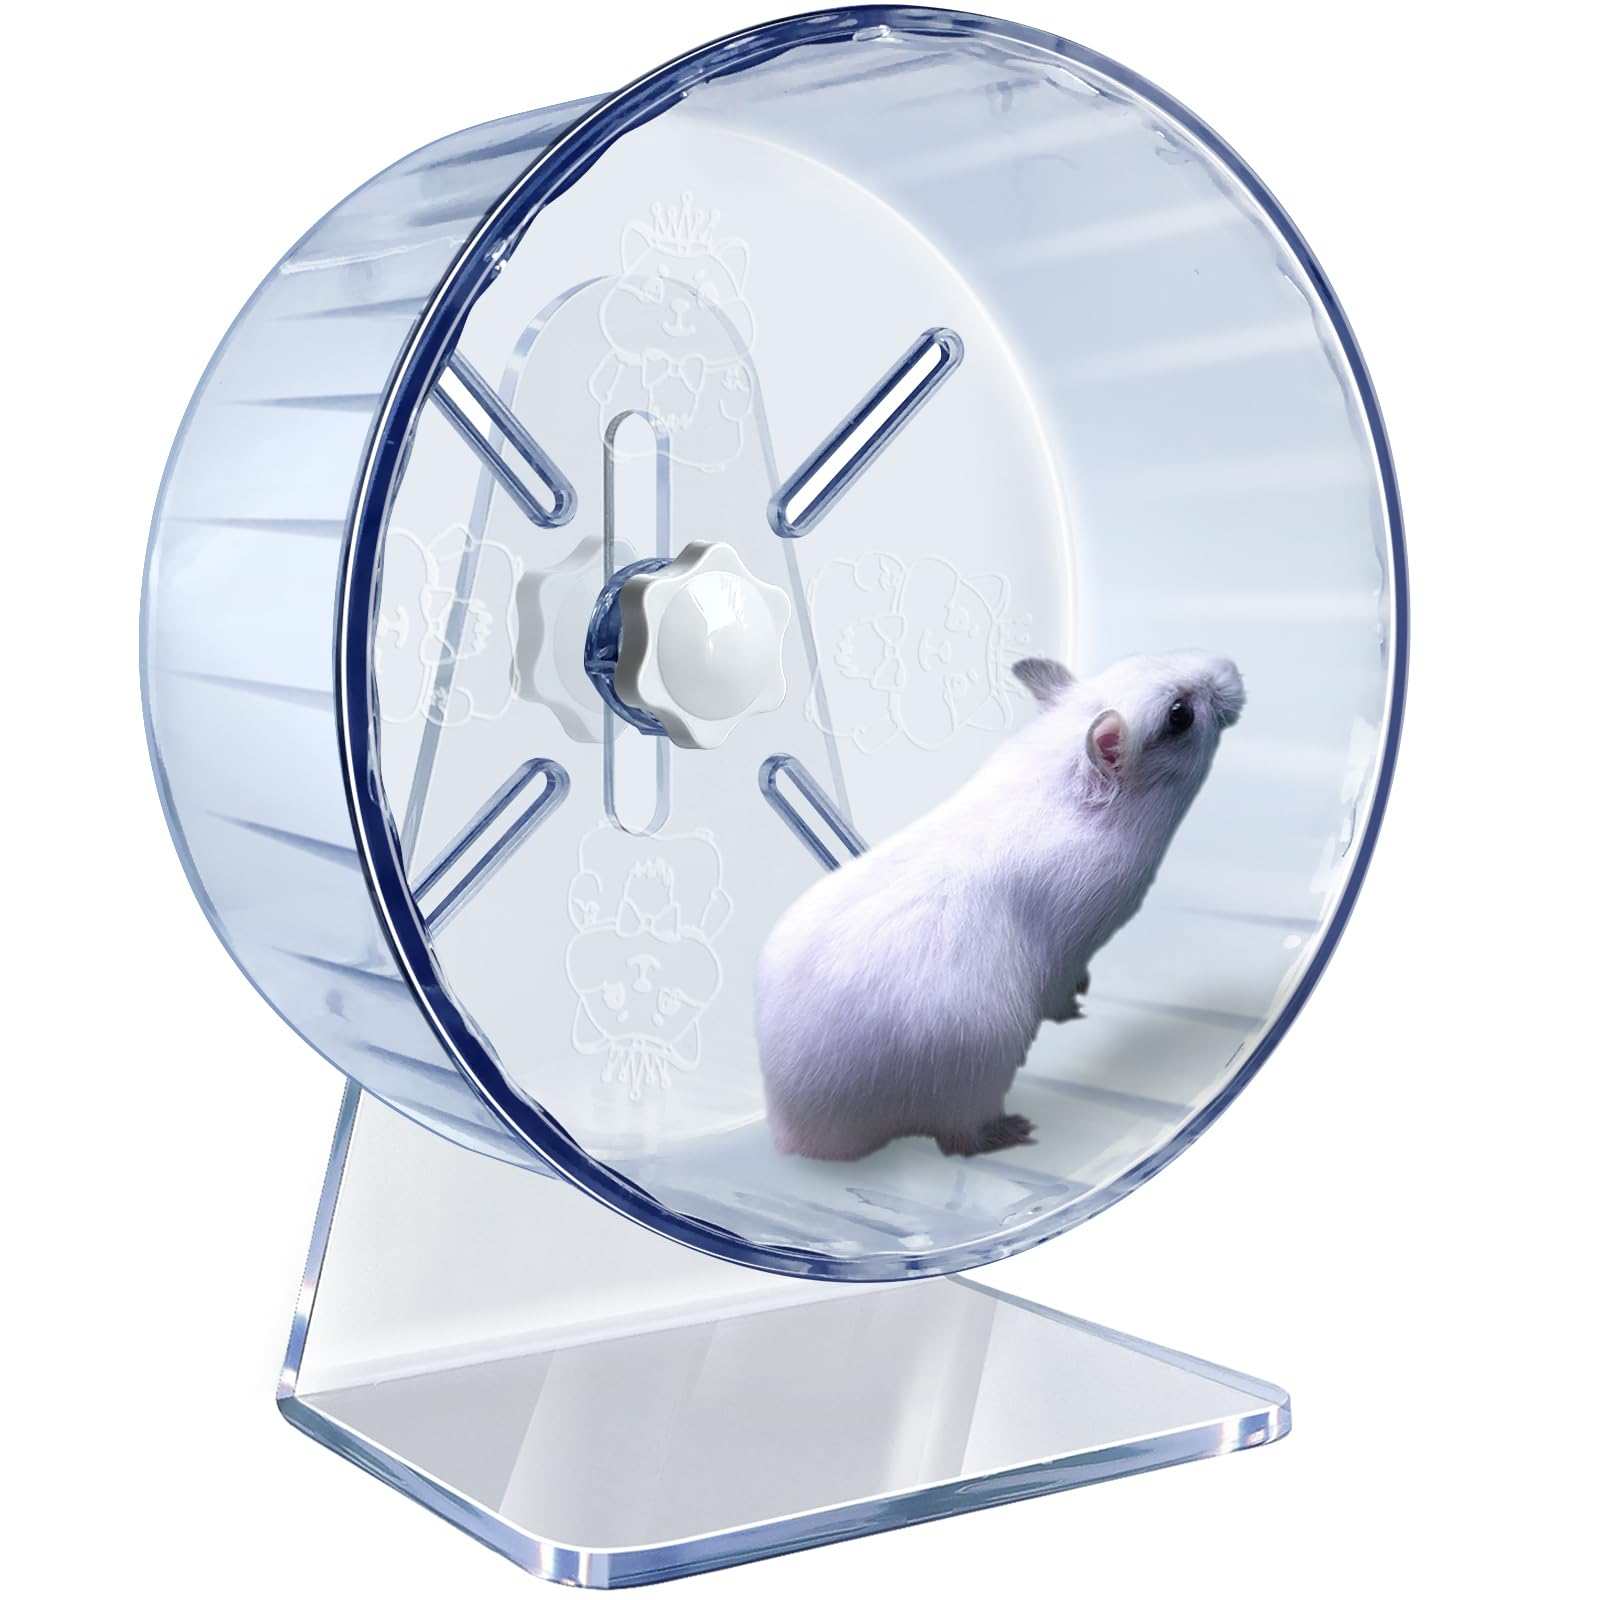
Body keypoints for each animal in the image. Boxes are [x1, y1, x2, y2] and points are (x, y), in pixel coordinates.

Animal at [755, 651, 1245, 1160]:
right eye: (1179, 715)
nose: (1232, 666)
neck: (1064, 773)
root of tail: (793, 1134)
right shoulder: (1072, 950)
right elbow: (1062, 993)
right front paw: (1078, 1006)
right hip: (973, 1076)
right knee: (958, 1141)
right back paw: (1016, 1131)